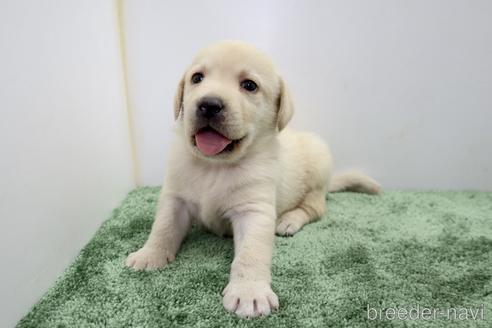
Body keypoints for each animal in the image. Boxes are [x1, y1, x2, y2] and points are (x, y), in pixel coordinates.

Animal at [127, 40, 380, 318]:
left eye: (249, 85)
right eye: (197, 78)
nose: (209, 104)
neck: (214, 166)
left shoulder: (254, 210)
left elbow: (251, 253)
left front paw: (249, 292)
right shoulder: (175, 197)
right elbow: (163, 227)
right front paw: (150, 254)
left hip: (318, 165)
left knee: (315, 209)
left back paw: (289, 220)